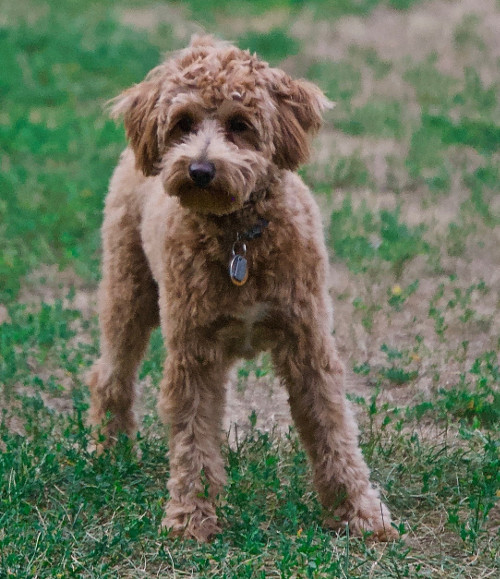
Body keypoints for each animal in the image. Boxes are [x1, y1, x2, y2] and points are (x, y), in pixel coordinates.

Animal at [88, 35, 396, 544]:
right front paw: (191, 517)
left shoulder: (308, 342)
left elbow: (332, 428)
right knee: (110, 373)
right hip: (128, 289)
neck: (239, 239)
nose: (199, 169)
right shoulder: (193, 353)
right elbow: (192, 438)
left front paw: (359, 512)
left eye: (240, 125)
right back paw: (107, 450)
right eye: (183, 123)